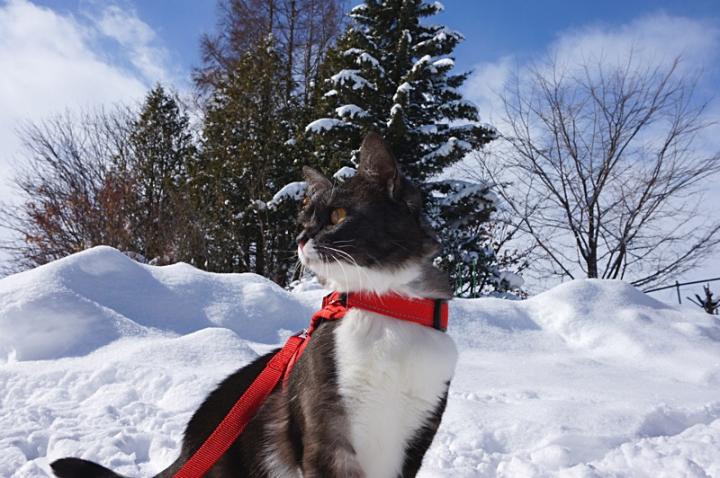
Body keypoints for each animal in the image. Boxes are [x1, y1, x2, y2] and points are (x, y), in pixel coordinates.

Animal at [51, 132, 458, 478]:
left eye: (339, 215)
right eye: (305, 218)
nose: (301, 237)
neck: (387, 308)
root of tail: (184, 456)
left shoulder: (416, 436)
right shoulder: (326, 434)